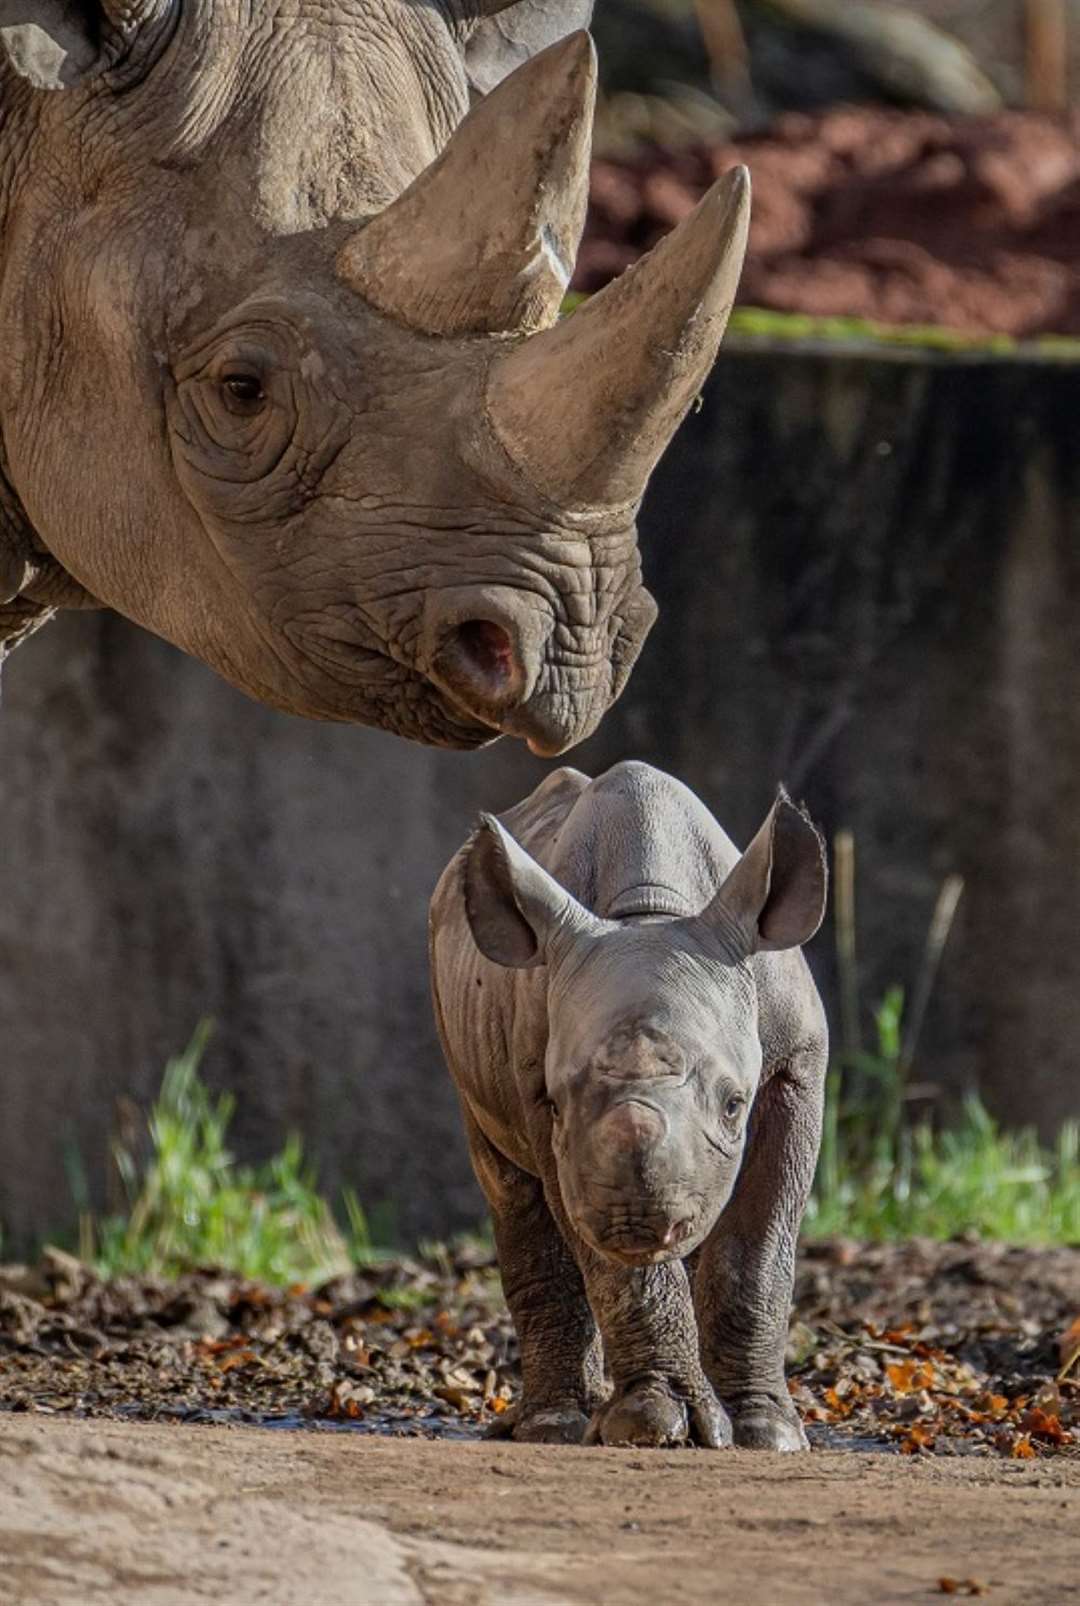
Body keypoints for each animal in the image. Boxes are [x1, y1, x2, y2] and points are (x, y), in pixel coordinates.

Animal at [427, 764, 829, 1458]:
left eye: (734, 1105)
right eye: (557, 1104)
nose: (636, 1220)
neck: (652, 913)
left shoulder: (796, 1064)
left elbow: (757, 1253)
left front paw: (767, 1432)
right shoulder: (542, 1092)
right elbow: (611, 1266)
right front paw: (652, 1425)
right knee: (508, 1183)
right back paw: (554, 1427)